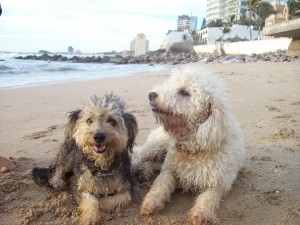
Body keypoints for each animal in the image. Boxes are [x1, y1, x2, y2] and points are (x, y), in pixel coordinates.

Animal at [133, 66, 246, 224]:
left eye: (184, 92)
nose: (151, 94)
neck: (194, 148)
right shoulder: (169, 170)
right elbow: (160, 183)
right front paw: (151, 201)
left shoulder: (219, 182)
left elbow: (208, 198)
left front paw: (201, 214)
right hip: (157, 146)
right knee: (140, 157)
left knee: (153, 163)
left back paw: (145, 171)